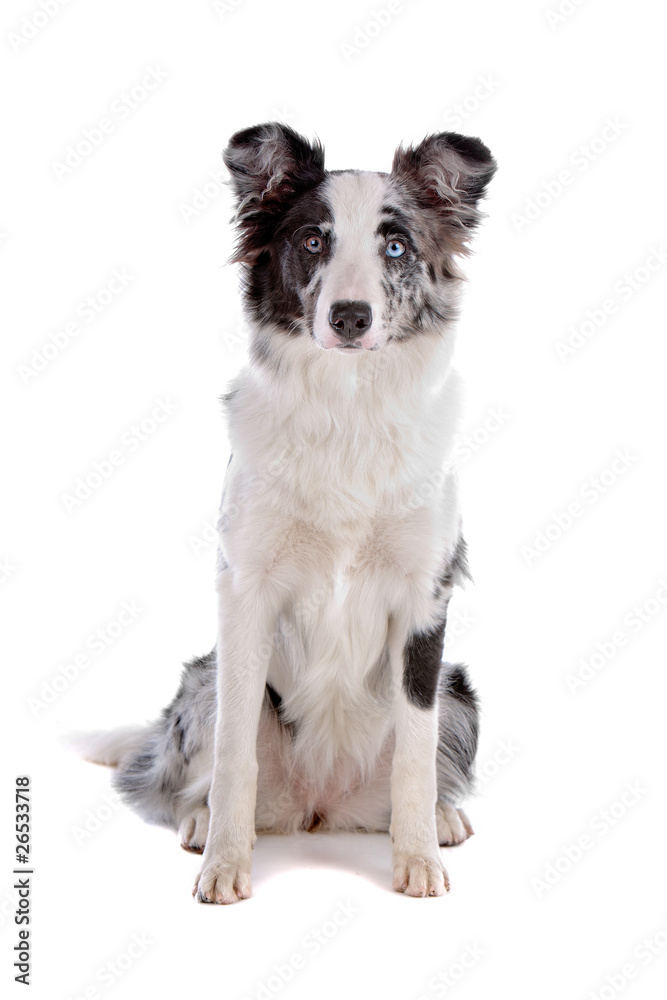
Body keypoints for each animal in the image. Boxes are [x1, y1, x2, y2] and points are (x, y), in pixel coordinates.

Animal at [77, 121, 496, 904]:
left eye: (396, 247)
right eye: (311, 240)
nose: (350, 316)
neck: (348, 407)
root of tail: (319, 807)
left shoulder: (425, 600)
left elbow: (415, 754)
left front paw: (418, 858)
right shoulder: (246, 591)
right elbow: (235, 756)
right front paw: (224, 864)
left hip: (457, 688)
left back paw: (440, 819)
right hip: (202, 682)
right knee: (209, 773)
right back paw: (199, 822)